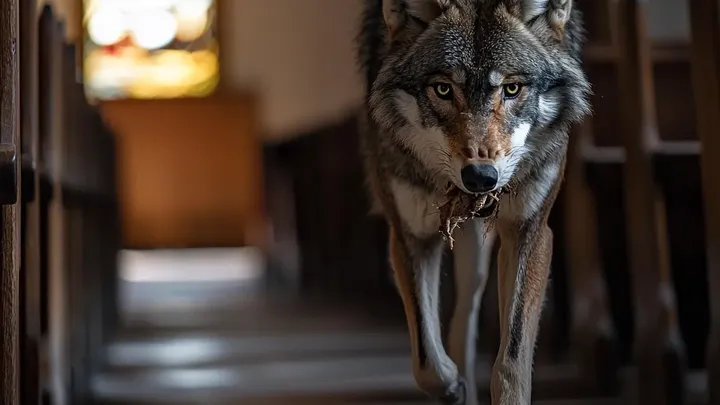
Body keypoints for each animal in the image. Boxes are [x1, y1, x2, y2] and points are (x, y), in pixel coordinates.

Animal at [356, 0, 591, 403]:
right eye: (443, 89)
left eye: (511, 88)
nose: (481, 177)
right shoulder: (410, 236)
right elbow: (425, 359)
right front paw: (451, 385)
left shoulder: (529, 232)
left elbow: (511, 362)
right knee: (459, 322)